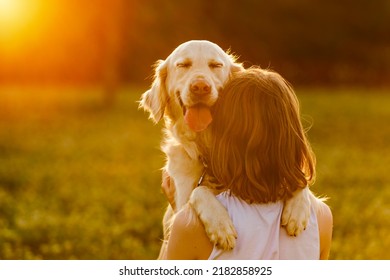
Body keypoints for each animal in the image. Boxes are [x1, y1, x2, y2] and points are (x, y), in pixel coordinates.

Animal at [139, 40, 312, 258]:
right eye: (183, 65)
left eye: (215, 65)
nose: (200, 87)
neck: (206, 148)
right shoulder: (180, 205)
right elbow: (199, 191)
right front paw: (220, 226)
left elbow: (302, 180)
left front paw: (297, 211)